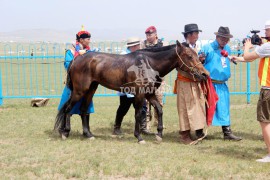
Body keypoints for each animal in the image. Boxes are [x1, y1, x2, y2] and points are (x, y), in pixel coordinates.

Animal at [53, 40, 208, 143]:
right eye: (189, 56)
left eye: (197, 54)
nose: (204, 74)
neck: (149, 63)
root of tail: (76, 59)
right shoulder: (139, 95)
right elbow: (138, 114)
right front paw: (139, 136)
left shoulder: (150, 94)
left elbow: (159, 110)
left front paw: (159, 134)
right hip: (80, 91)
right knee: (68, 109)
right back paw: (65, 132)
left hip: (91, 90)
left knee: (83, 110)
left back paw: (88, 134)